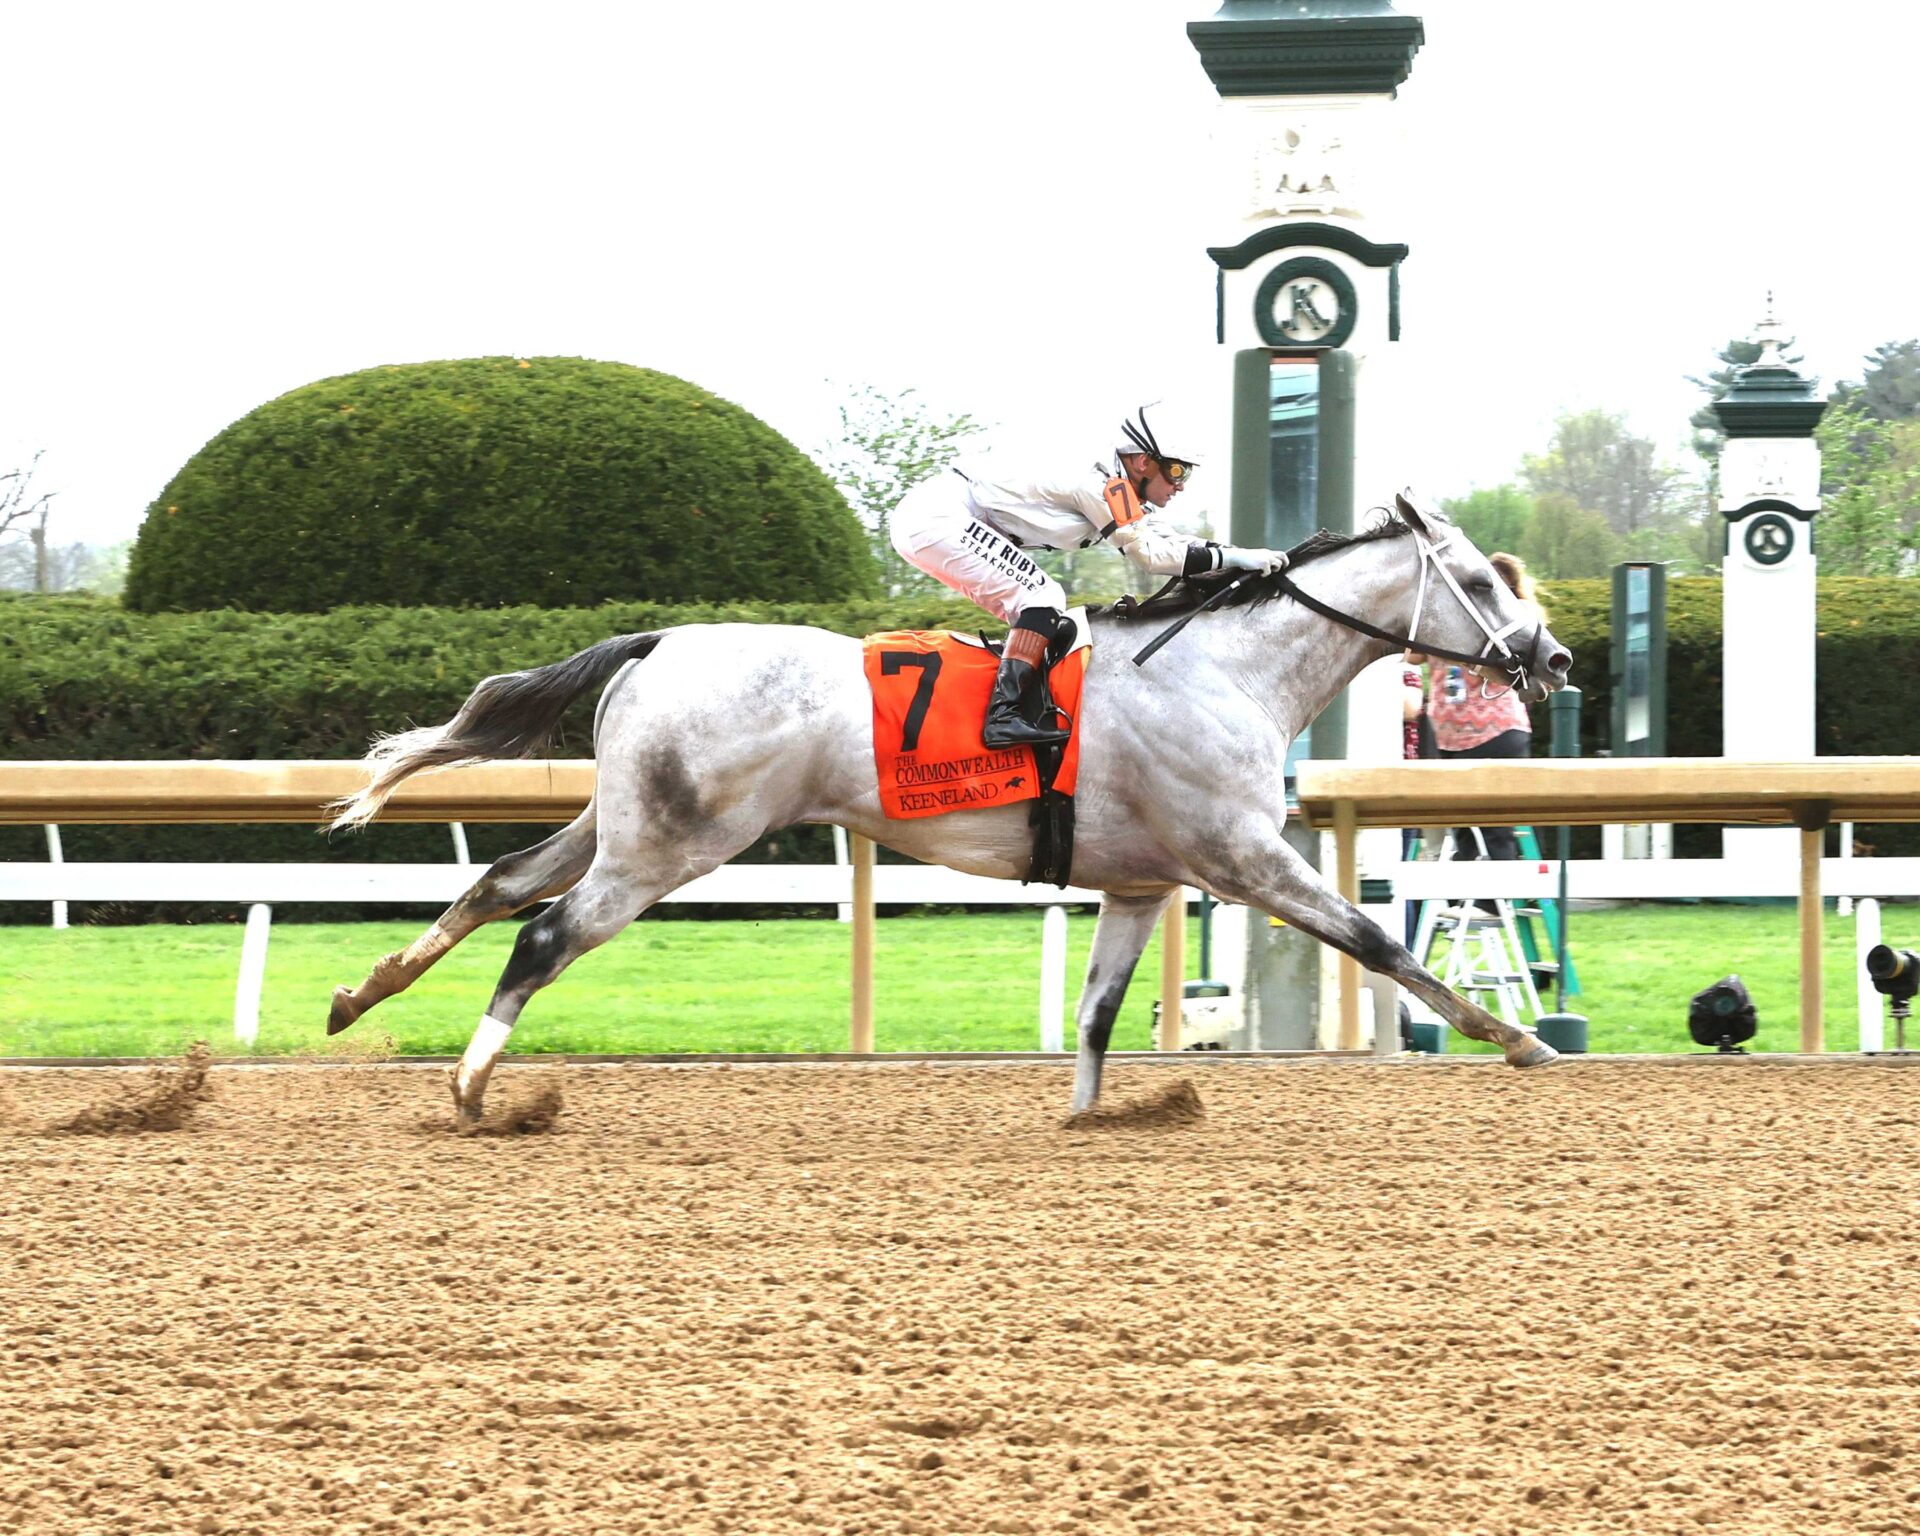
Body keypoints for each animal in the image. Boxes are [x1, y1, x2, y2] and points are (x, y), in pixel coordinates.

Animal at [326, 491, 1573, 1123]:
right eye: (1482, 580)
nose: (1553, 657)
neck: (1220, 668)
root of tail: (657, 637)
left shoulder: (1140, 883)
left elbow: (1096, 1014)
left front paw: (1086, 1115)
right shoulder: (1243, 854)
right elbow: (1376, 940)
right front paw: (1513, 1038)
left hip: (623, 821)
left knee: (497, 884)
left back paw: (359, 994)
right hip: (674, 844)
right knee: (543, 933)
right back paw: (473, 1086)